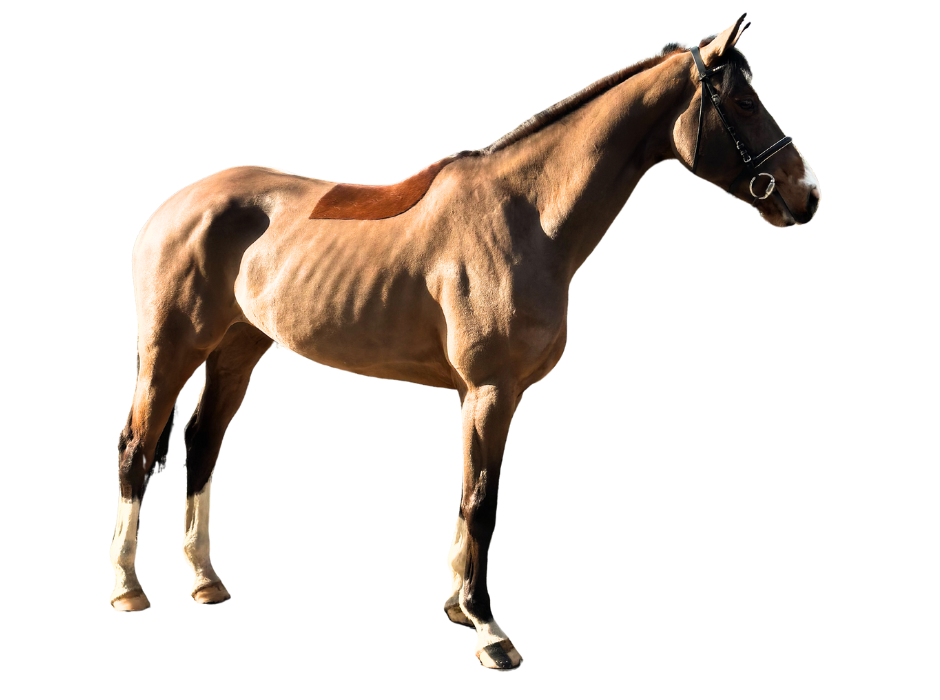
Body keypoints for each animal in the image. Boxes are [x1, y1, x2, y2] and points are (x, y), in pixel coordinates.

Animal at [111, 14, 821, 671]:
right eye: (742, 101)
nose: (805, 193)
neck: (530, 214)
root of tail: (173, 206)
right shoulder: (491, 390)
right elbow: (482, 502)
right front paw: (489, 628)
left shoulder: (478, 395)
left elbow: (464, 494)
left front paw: (457, 602)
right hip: (171, 350)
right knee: (138, 448)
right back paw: (128, 587)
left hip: (238, 349)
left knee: (202, 443)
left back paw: (206, 578)